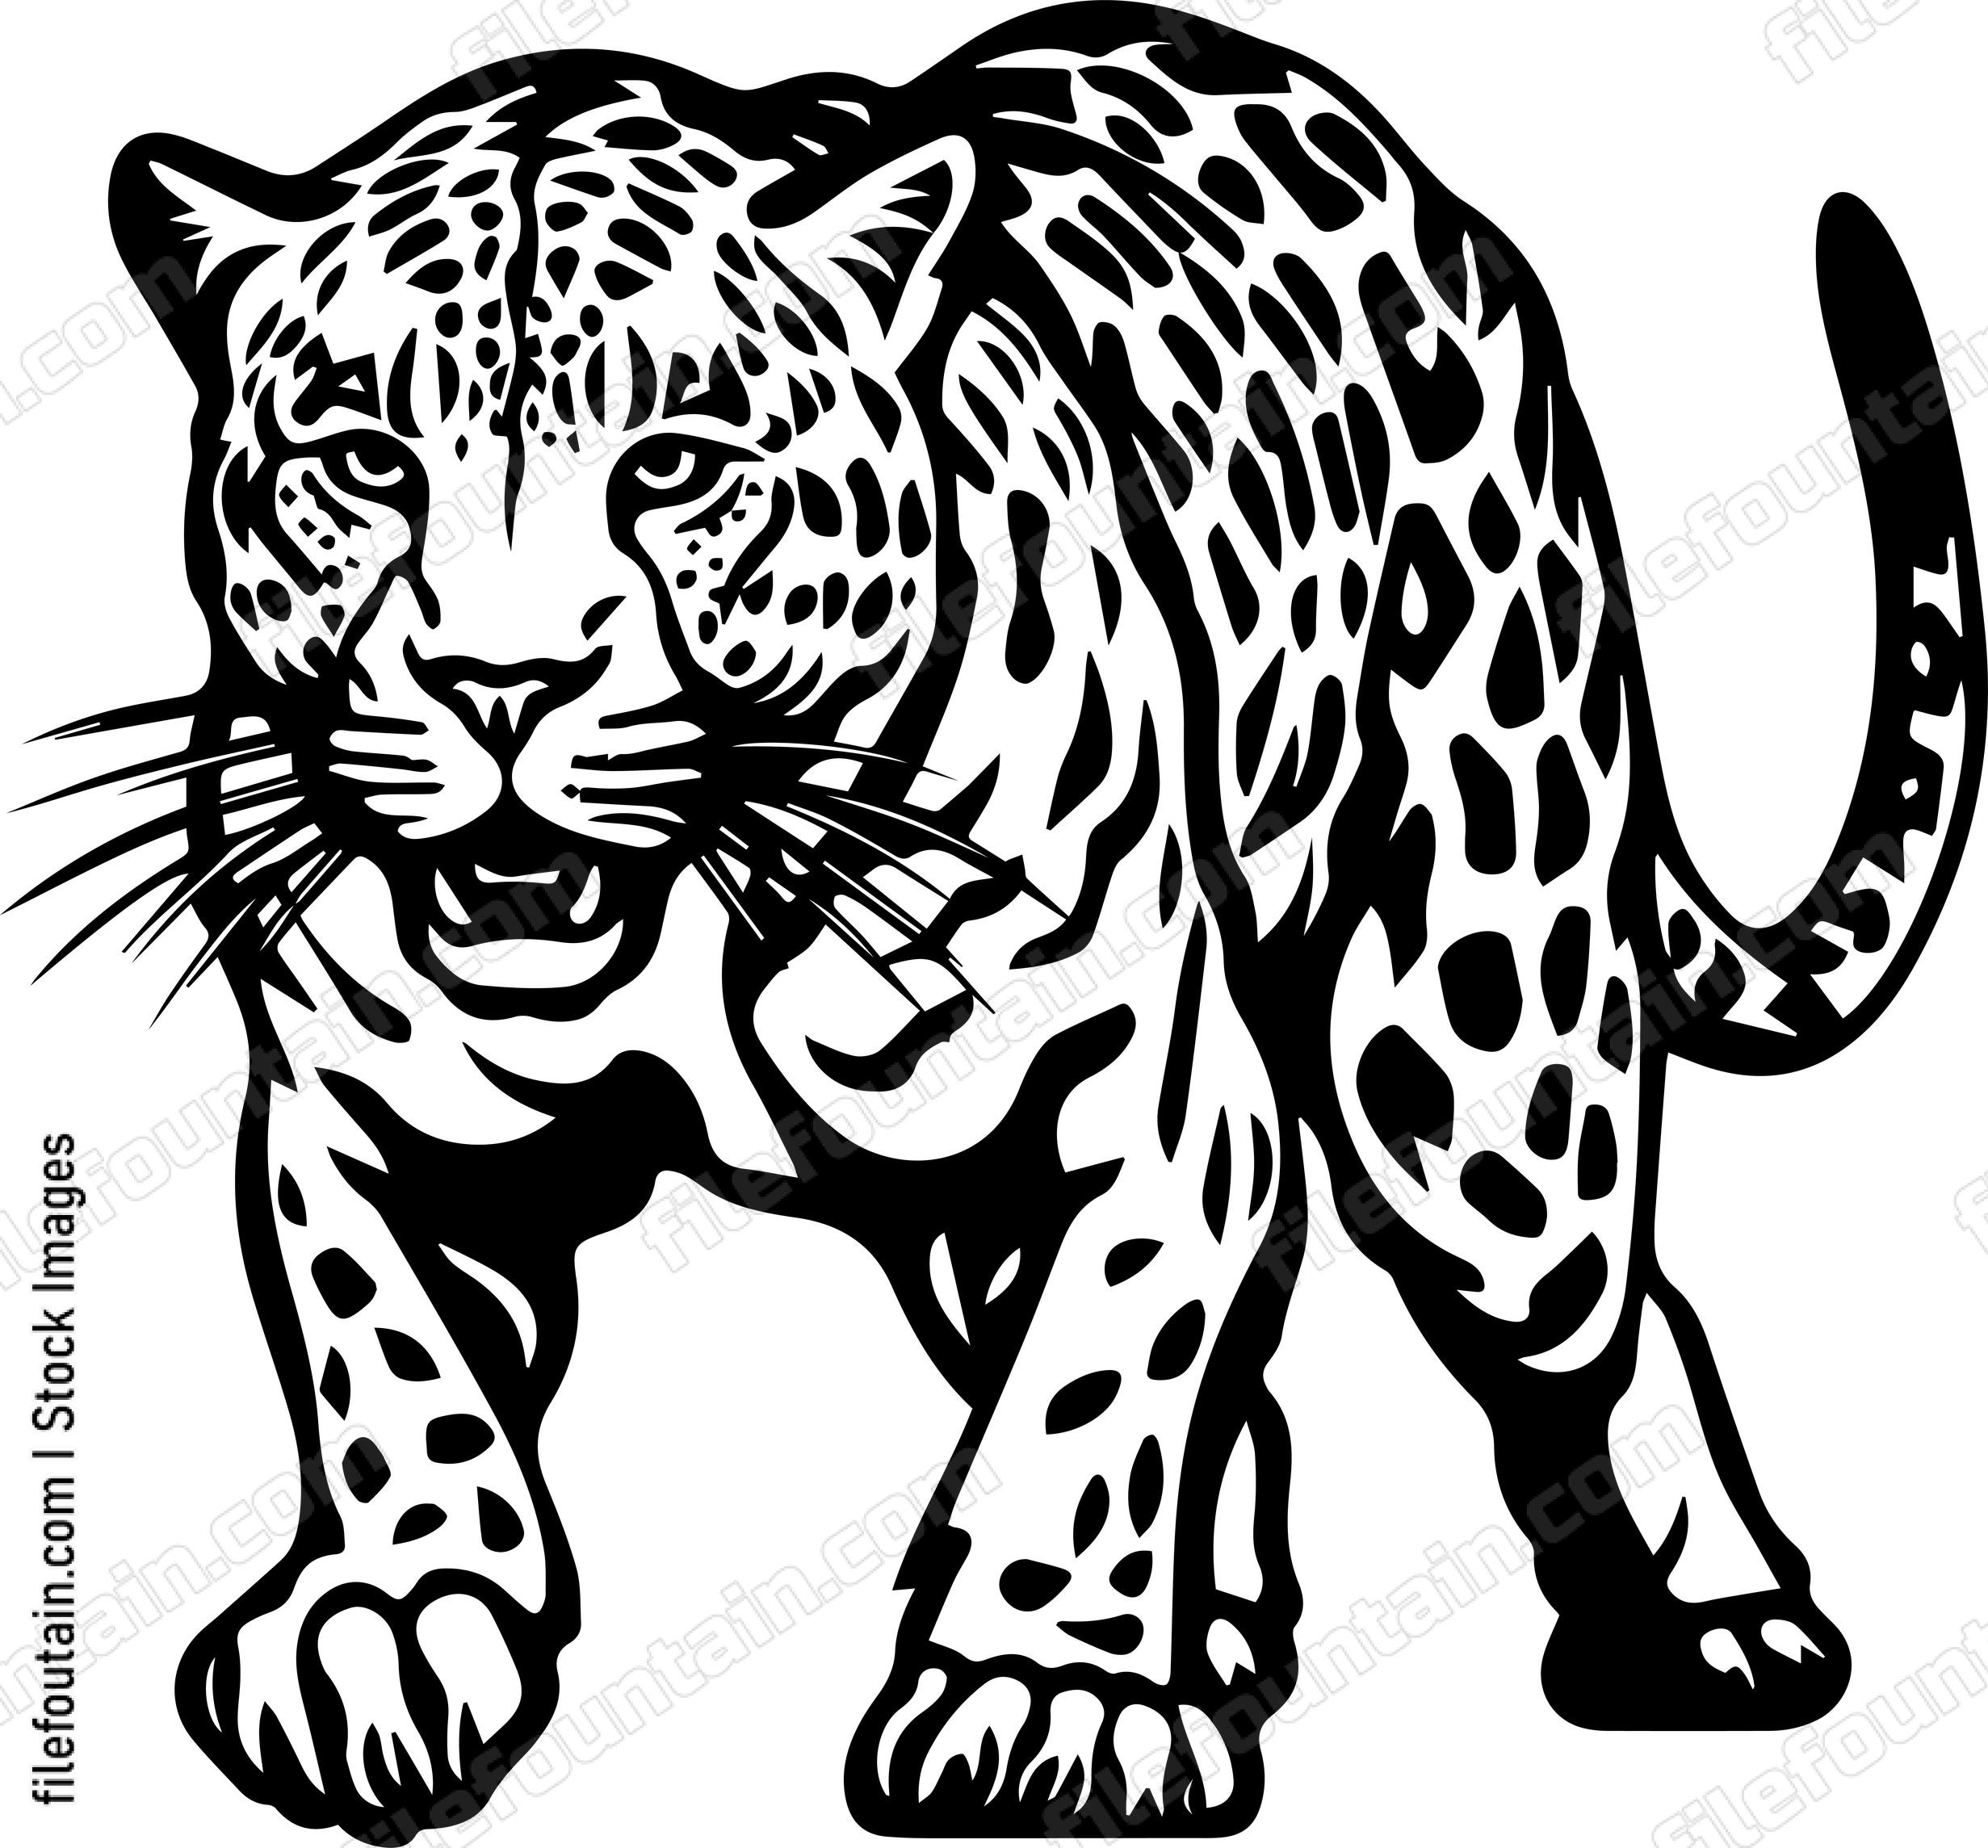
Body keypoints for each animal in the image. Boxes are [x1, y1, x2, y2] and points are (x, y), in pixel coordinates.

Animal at [32, 2, 1983, 1838]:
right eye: (362, 457)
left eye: (675, 462)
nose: (497, 683)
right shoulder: (371, 1118)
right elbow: (388, 1366)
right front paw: (386, 1617)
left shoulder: (1155, 1105)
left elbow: (1093, 1396)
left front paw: (1042, 1693)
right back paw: (1225, 1628)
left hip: (1472, 1039)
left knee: (1593, 1296)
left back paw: (1711, 1622)